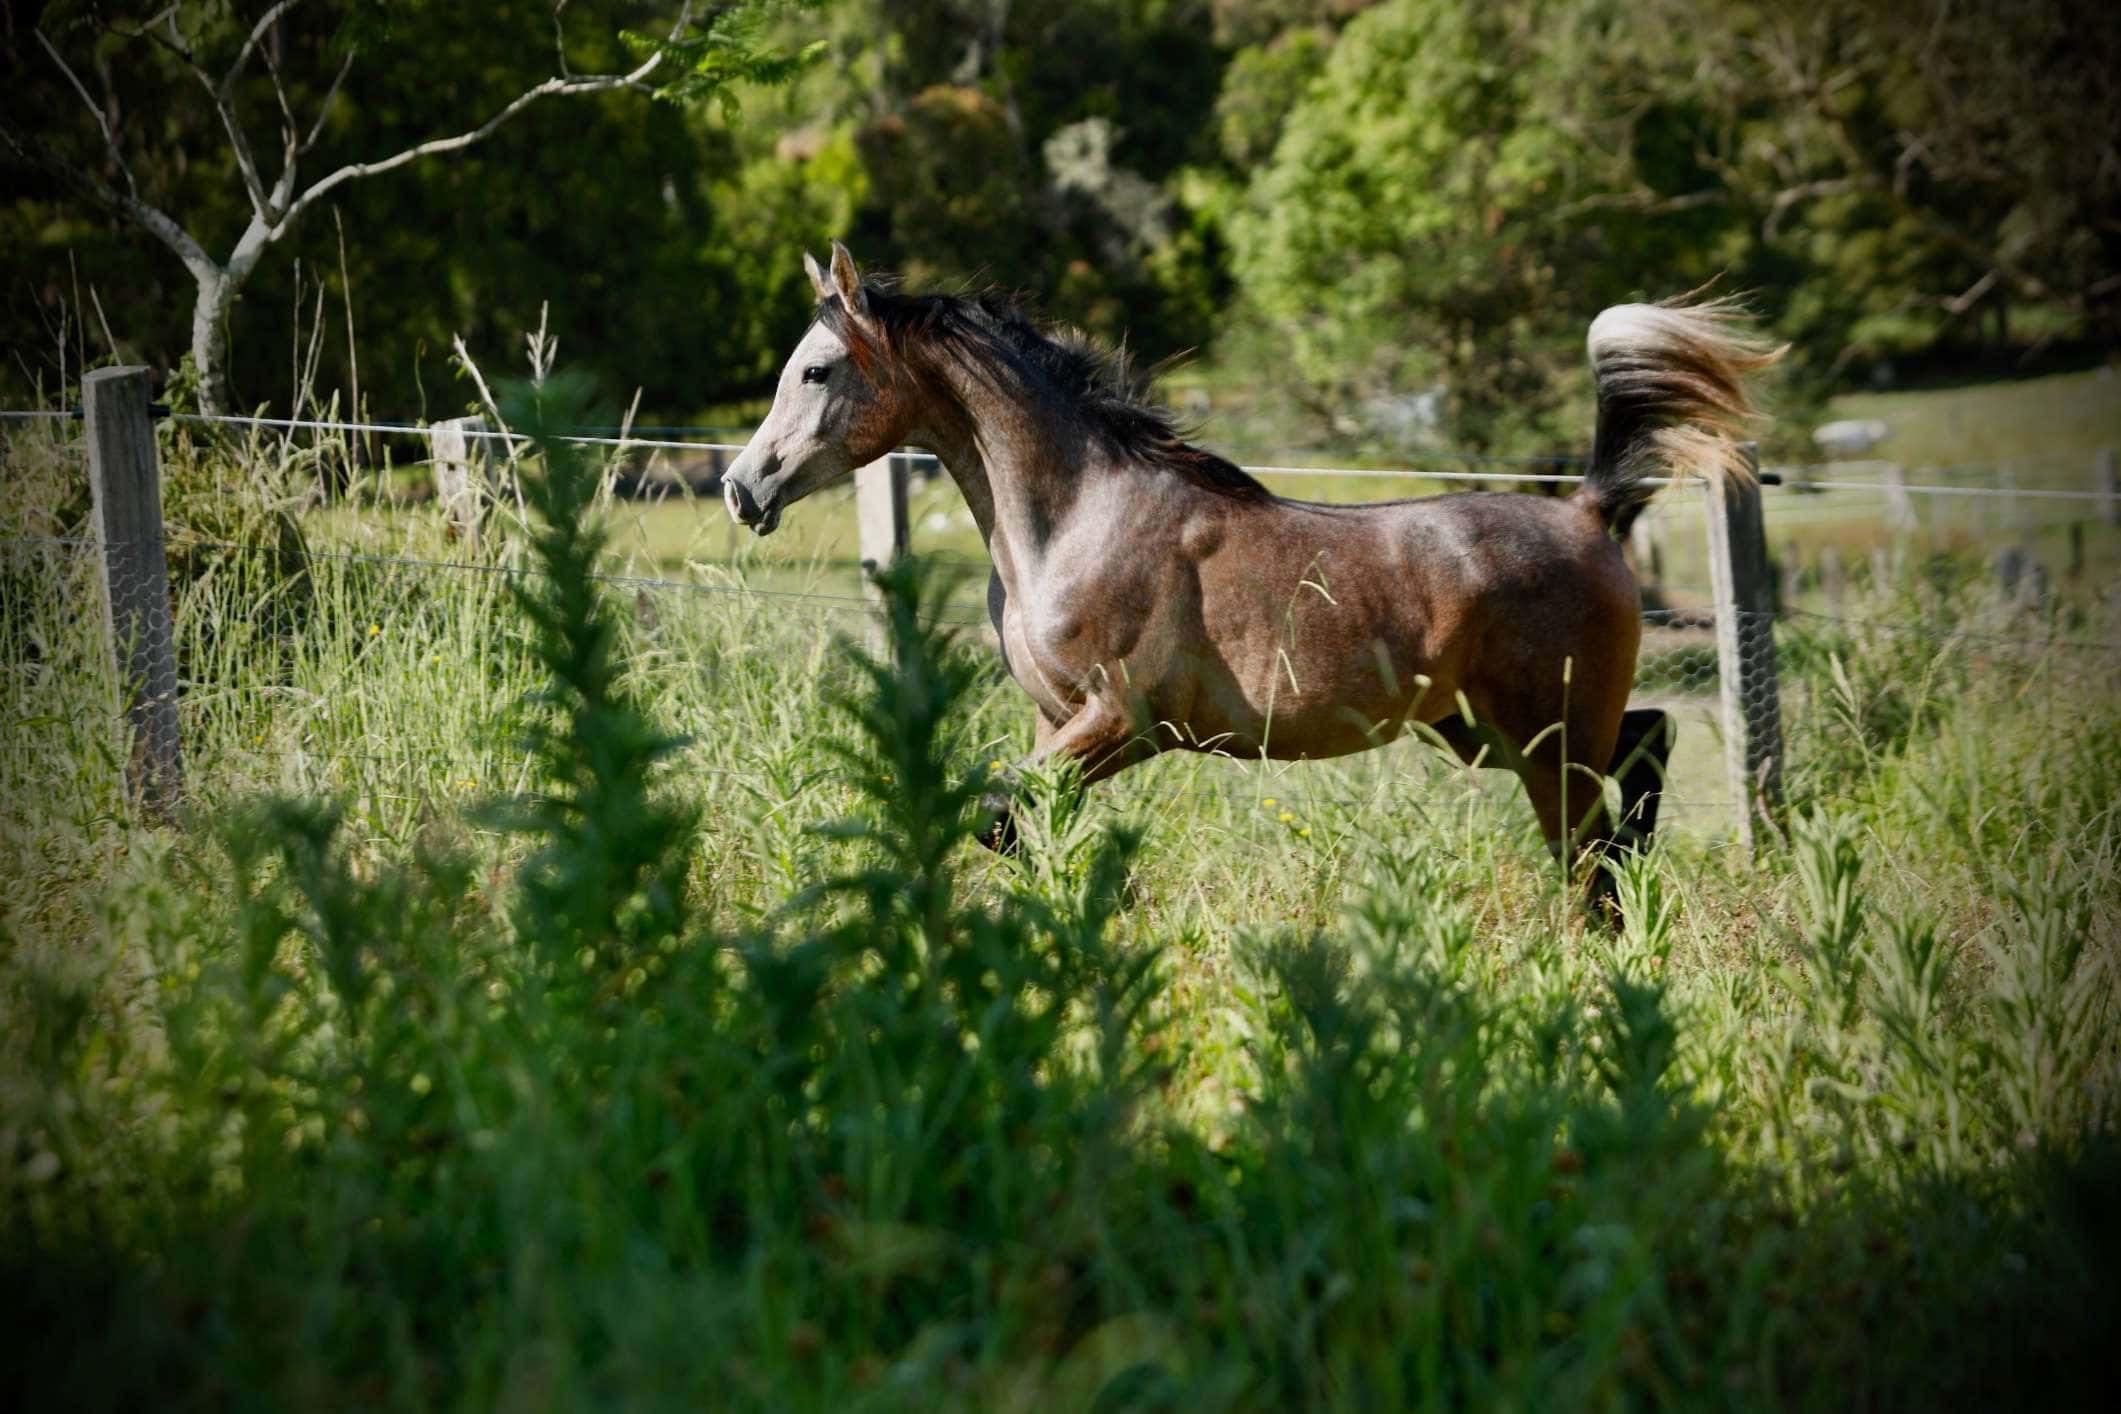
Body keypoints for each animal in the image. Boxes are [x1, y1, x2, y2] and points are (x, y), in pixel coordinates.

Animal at [721, 243, 1781, 911]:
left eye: (815, 371)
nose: (741, 487)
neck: (1079, 516)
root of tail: (1587, 510)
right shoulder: (1057, 721)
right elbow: (1021, 823)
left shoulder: (1122, 723)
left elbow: (998, 811)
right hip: (1486, 731)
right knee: (1641, 756)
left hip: (1544, 733)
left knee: (1597, 824)